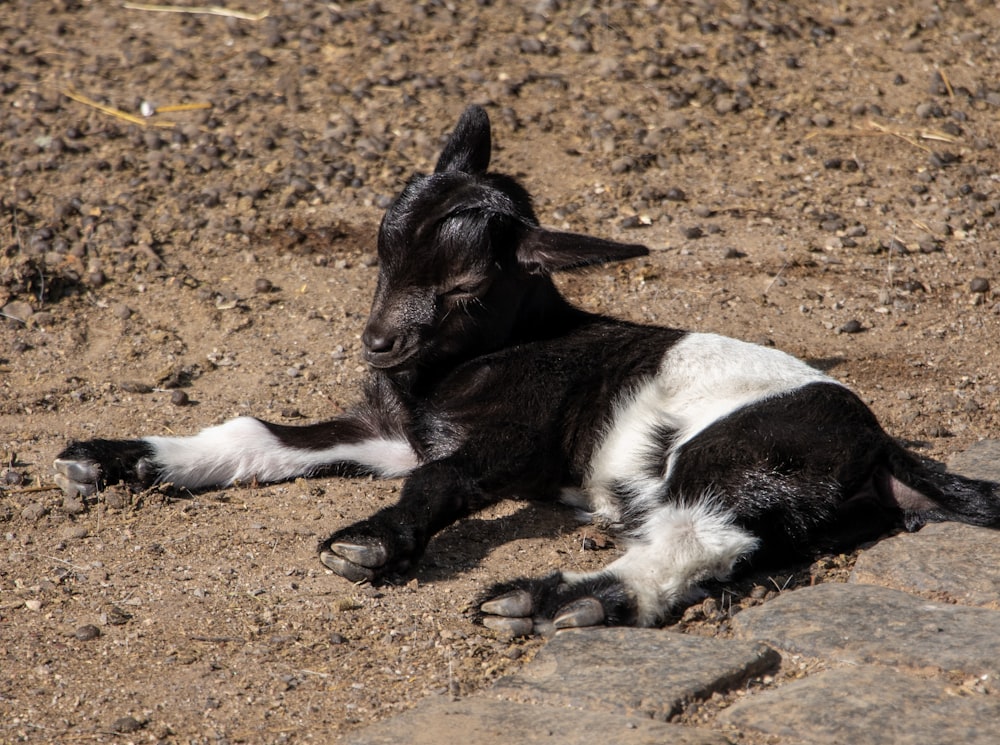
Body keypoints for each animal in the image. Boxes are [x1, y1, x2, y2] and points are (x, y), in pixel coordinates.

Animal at [56, 104, 1000, 636]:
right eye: (381, 247)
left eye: (468, 287)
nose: (379, 344)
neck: (476, 359)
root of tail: (882, 447)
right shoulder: (389, 432)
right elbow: (259, 431)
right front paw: (113, 457)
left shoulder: (504, 441)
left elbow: (440, 486)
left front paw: (371, 544)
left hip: (739, 455)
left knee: (693, 539)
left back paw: (548, 600)